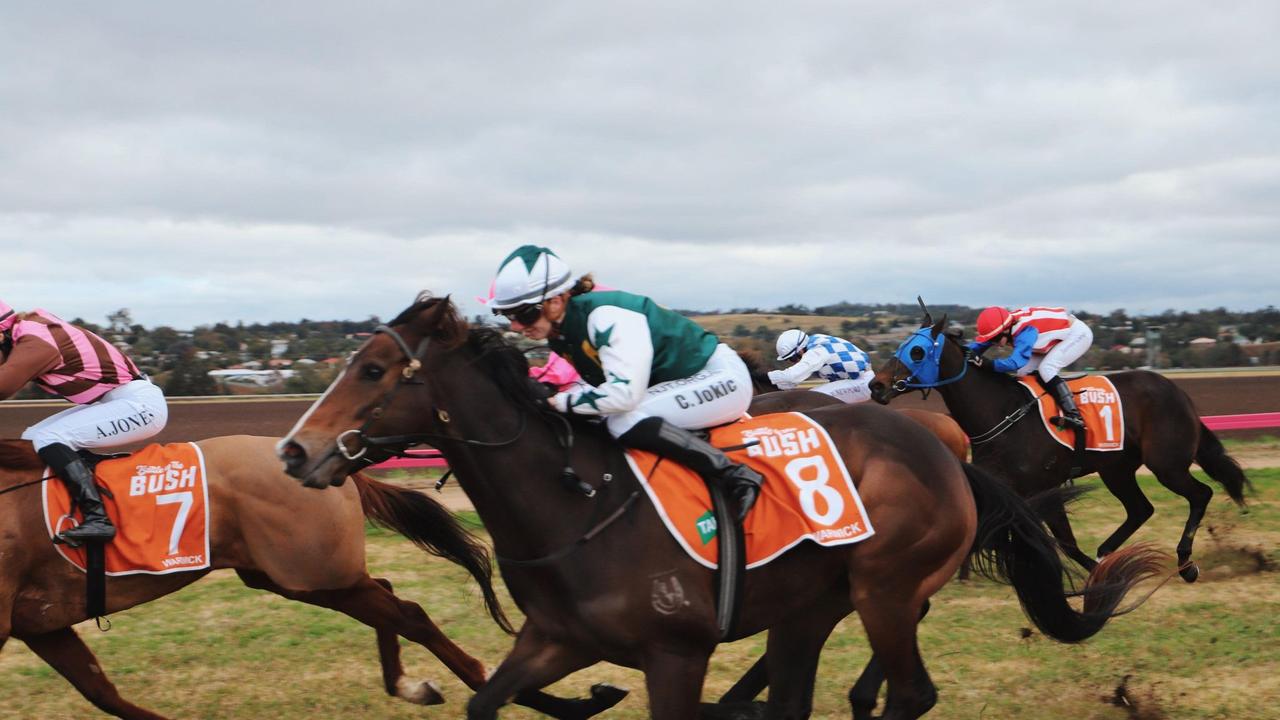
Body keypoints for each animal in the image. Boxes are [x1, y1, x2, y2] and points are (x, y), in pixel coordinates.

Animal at [0, 430, 619, 717]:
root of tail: (326, 462)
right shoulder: (41, 625)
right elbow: (101, 692)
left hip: (312, 573)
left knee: (410, 613)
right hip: (293, 575)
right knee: (393, 603)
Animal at [275, 294, 1167, 712]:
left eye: (375, 371)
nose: (294, 452)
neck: (579, 503)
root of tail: (942, 451)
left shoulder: (676, 653)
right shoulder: (556, 639)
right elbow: (490, 698)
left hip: (883, 585)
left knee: (905, 684)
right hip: (822, 600)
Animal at [870, 311, 1249, 579]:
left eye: (917, 351)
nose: (876, 385)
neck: (1002, 413)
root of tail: (1176, 391)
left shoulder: (1045, 487)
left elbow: (1064, 542)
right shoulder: (1004, 489)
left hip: (1166, 464)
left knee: (1200, 495)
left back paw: (1185, 563)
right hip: (1117, 469)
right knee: (1141, 508)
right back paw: (1106, 551)